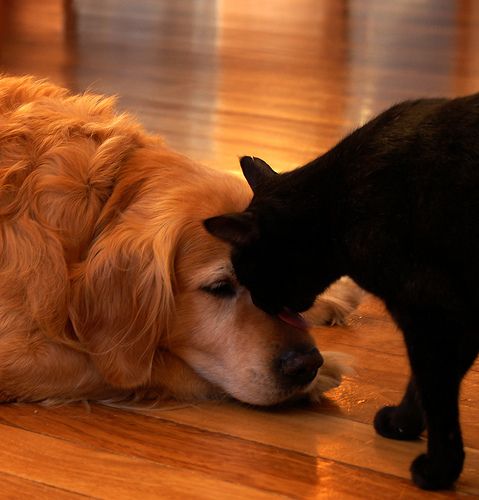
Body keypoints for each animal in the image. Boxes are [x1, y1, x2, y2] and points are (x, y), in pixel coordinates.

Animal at [0, 76, 360, 408]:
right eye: (218, 288)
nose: (307, 364)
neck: (101, 198)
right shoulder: (19, 350)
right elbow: (148, 367)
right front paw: (324, 373)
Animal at [204, 95, 479, 490]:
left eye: (248, 275)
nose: (260, 303)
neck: (334, 205)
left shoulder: (433, 316)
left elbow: (434, 393)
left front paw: (437, 468)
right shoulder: (458, 320)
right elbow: (426, 385)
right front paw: (406, 427)